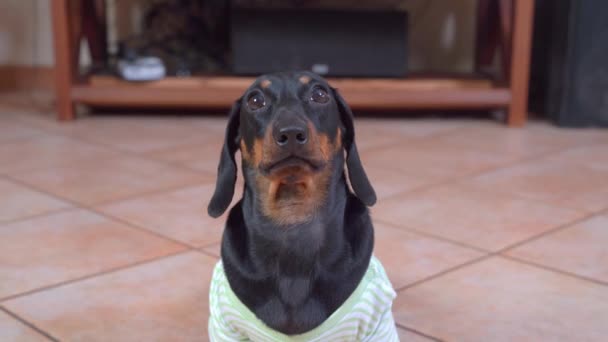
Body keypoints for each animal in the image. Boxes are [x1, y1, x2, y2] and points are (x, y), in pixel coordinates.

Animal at [209, 71, 400, 340]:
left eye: (319, 94)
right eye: (255, 100)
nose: (290, 133)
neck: (294, 218)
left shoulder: (376, 322)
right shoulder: (225, 325)